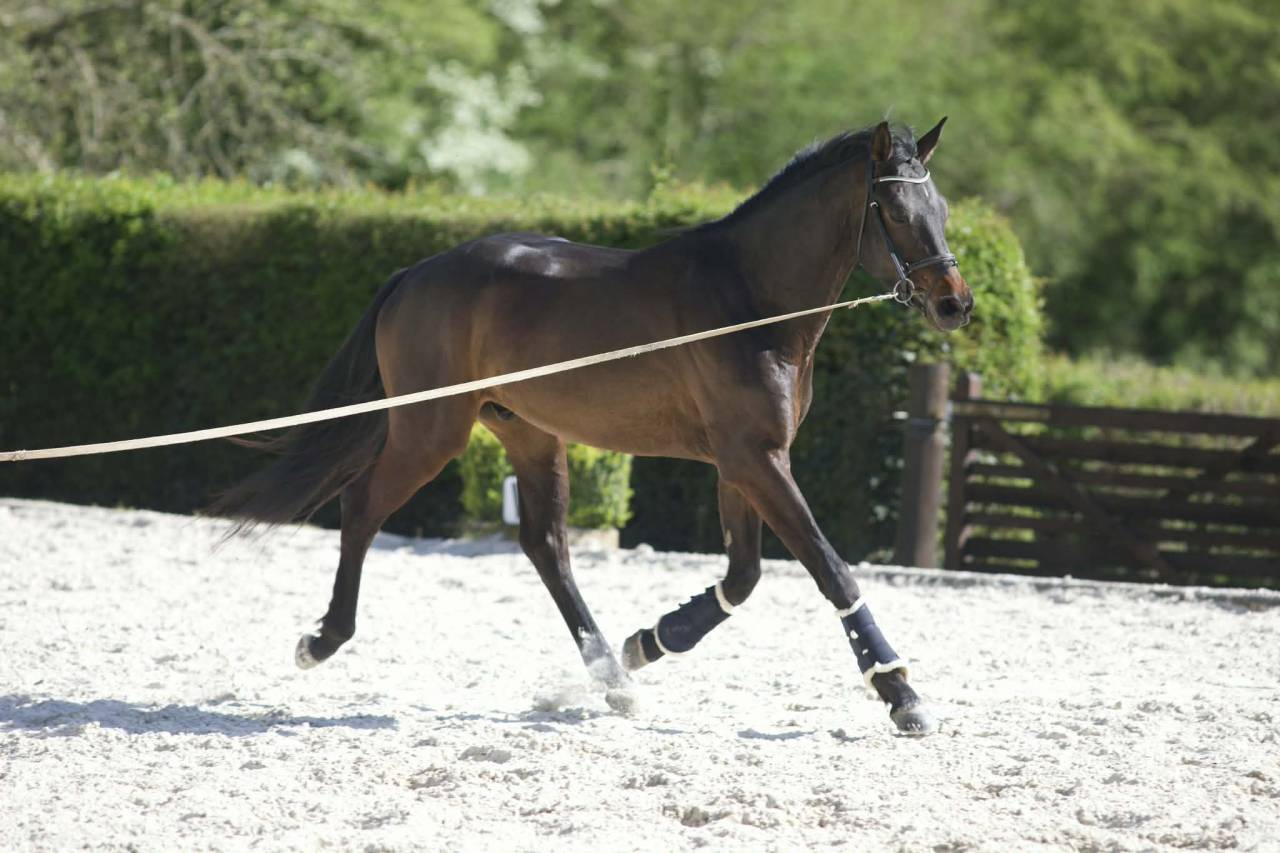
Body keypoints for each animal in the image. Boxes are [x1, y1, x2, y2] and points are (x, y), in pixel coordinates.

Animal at [209, 118, 973, 735]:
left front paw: (651, 640)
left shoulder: (745, 462)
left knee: (545, 545)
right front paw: (902, 694)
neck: (749, 301)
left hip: (527, 433)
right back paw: (322, 640)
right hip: (432, 429)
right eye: (895, 210)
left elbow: (743, 577)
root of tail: (415, 272)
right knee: (363, 505)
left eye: (941, 207)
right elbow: (829, 570)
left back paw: (614, 675)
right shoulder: (755, 459)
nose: (955, 305)